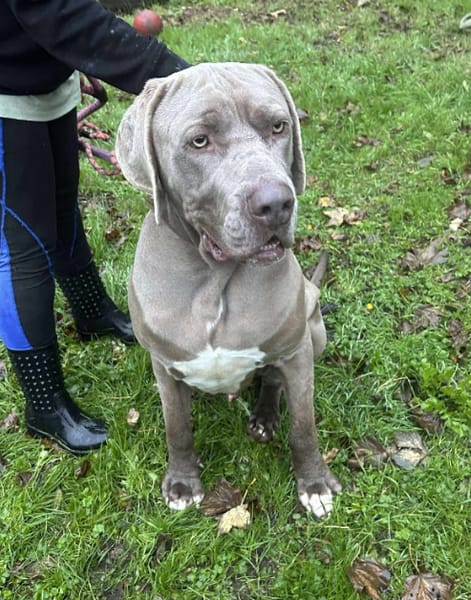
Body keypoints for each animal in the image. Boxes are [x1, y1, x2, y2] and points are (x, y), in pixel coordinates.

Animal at [115, 62, 341, 517]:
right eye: (199, 141)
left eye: (278, 126)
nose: (276, 204)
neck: (213, 279)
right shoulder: (164, 367)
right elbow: (177, 428)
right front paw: (183, 483)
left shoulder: (296, 354)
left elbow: (304, 426)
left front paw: (314, 484)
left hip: (313, 330)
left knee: (272, 381)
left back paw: (265, 417)